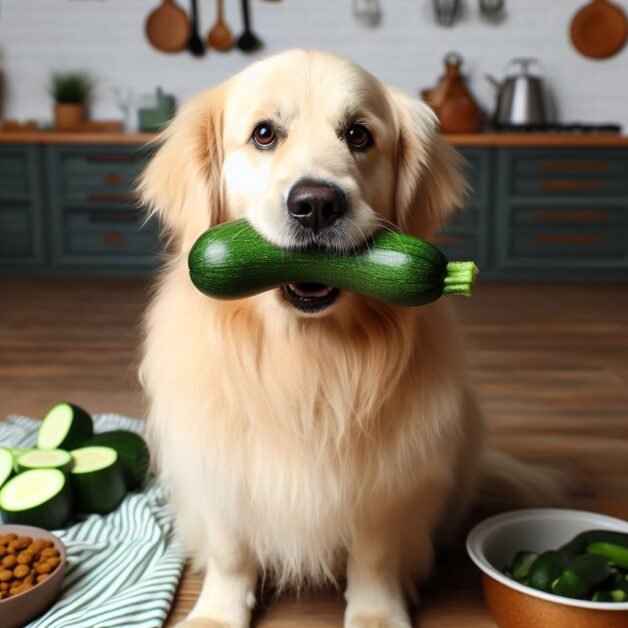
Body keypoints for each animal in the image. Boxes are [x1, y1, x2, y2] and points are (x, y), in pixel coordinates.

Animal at [140, 50, 560, 628]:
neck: (304, 357)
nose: (316, 203)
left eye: (359, 134)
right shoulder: (218, 469)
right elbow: (230, 552)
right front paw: (217, 614)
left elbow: (376, 556)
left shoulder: (389, 481)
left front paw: (377, 614)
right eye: (264, 134)